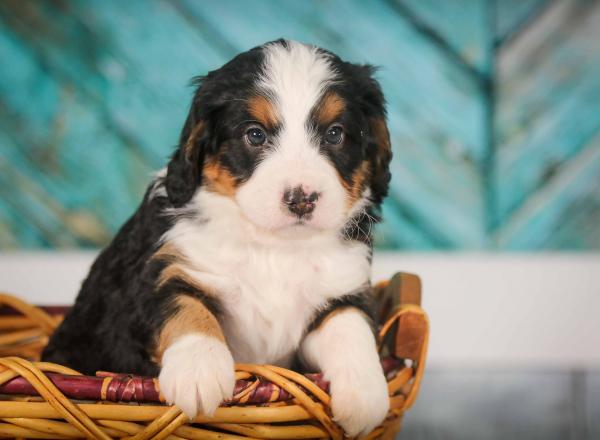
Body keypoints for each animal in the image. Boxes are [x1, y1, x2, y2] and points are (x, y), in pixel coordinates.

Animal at [41, 38, 390, 436]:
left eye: (335, 133)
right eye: (255, 134)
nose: (301, 198)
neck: (273, 246)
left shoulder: (341, 291)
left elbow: (351, 326)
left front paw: (365, 395)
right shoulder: (159, 273)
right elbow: (187, 308)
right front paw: (199, 370)